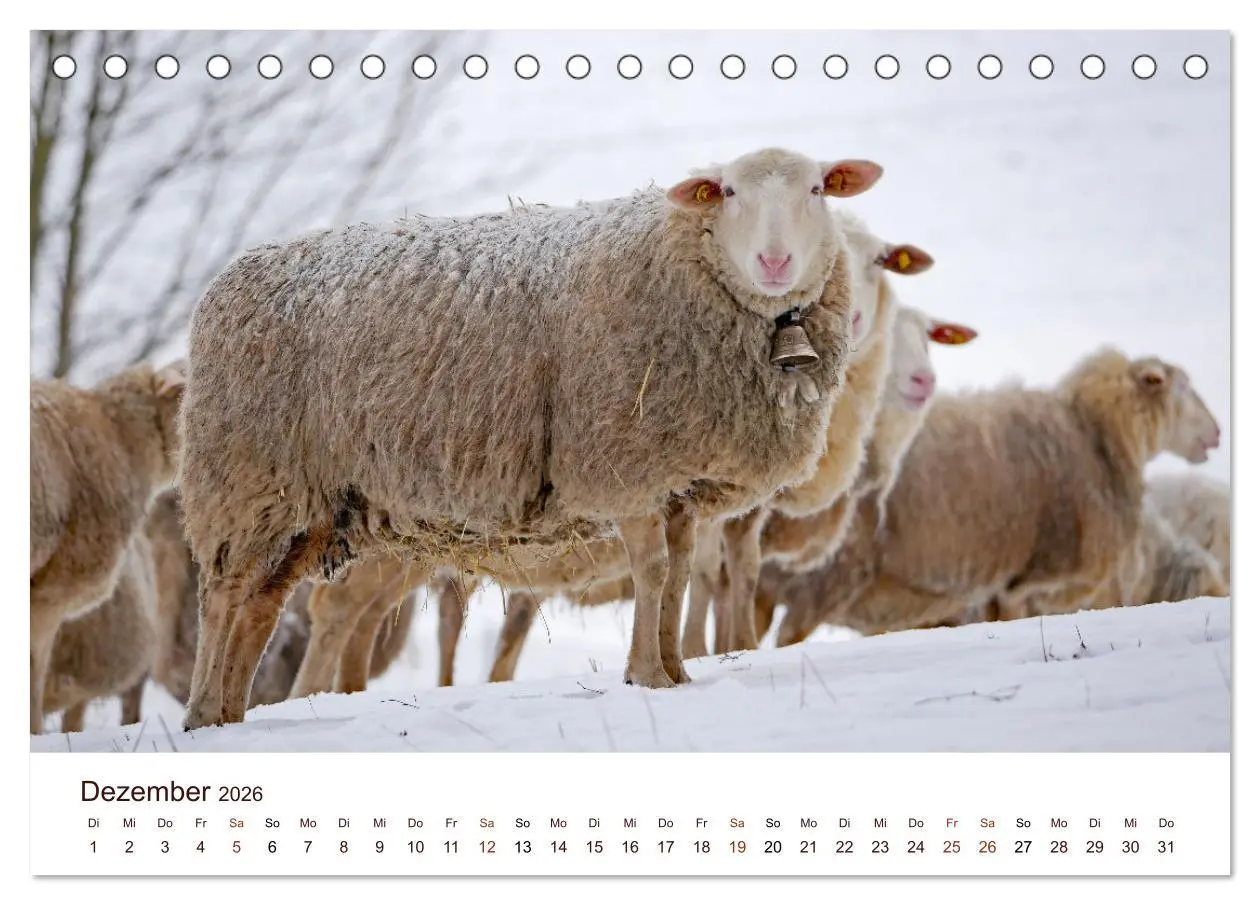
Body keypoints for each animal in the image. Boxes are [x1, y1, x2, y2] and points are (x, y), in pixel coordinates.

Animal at [179, 147, 880, 727]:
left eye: (817, 189)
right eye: (728, 192)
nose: (774, 262)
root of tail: (225, 281)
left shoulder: (678, 479)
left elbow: (679, 576)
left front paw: (676, 670)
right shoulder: (619, 463)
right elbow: (652, 570)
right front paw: (645, 676)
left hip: (305, 505)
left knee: (261, 606)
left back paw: (231, 713)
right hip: (242, 478)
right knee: (222, 599)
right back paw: (201, 714)